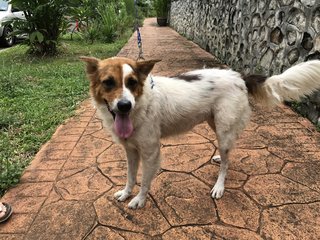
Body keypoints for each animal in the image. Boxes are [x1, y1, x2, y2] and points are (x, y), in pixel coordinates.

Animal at [80, 55, 320, 208]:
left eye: (131, 83)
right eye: (108, 83)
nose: (124, 105)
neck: (140, 104)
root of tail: (238, 76)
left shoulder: (150, 152)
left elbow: (145, 180)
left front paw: (139, 200)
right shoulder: (130, 151)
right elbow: (130, 176)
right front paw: (126, 193)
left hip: (223, 129)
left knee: (226, 163)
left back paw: (219, 186)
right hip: (216, 124)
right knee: (228, 151)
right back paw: (218, 158)